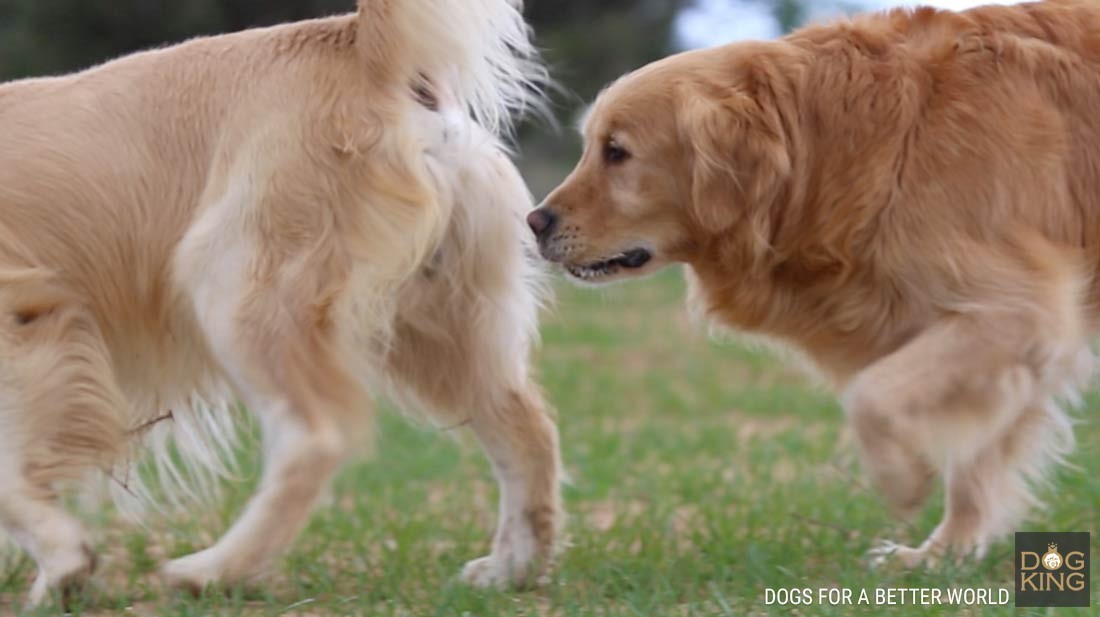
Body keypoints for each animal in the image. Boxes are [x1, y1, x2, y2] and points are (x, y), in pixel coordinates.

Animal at [0, 0, 563, 602]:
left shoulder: (24, 324)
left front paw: (64, 565)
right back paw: (511, 569)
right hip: (437, 323)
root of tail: (357, 43)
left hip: (232, 283)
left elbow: (9, 482)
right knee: (525, 428)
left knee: (315, 438)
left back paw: (212, 570)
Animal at [530, 0, 1091, 567]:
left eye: (616, 151)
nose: (534, 222)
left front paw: (906, 483)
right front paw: (941, 555)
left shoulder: (1022, 311)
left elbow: (871, 394)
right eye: (592, 146)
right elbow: (974, 459)